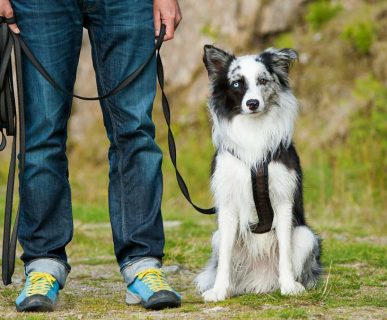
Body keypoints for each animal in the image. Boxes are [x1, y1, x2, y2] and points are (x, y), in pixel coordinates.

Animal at [196, 45, 322, 302]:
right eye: (236, 84)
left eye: (262, 80)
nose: (252, 103)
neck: (253, 130)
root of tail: (260, 280)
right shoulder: (228, 203)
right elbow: (225, 258)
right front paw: (219, 290)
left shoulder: (283, 200)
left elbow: (285, 250)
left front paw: (289, 286)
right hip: (217, 237)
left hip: (306, 235)